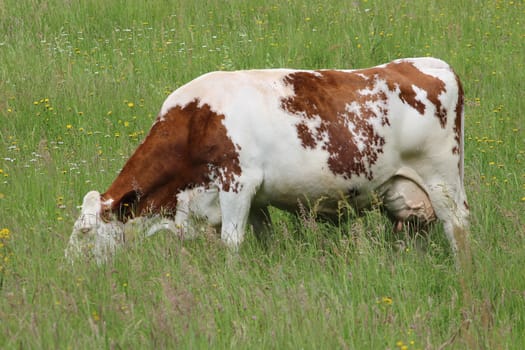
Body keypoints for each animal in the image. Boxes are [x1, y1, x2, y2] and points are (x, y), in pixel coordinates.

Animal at [63, 56, 468, 262]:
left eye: (84, 232)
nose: (68, 267)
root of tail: (434, 63)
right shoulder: (256, 198)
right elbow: (263, 240)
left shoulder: (237, 184)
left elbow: (231, 242)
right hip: (405, 191)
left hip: (443, 177)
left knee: (458, 225)